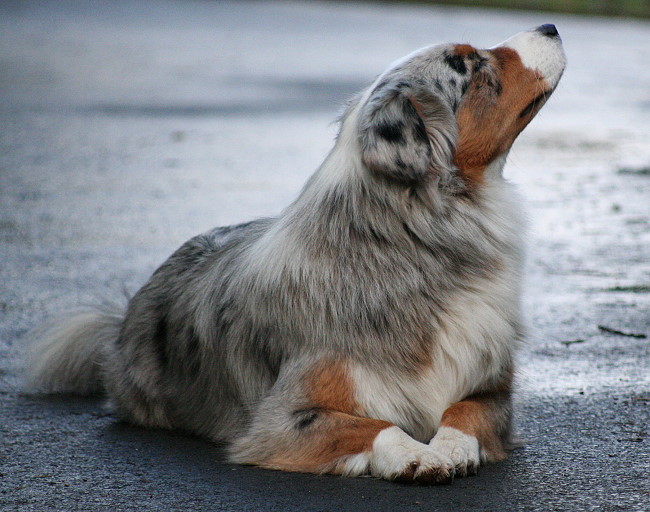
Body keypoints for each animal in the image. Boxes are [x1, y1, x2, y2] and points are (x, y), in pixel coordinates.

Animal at [26, 26, 560, 484]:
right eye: (470, 64)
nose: (551, 27)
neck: (415, 243)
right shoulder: (281, 418)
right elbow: (372, 425)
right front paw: (414, 453)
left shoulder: (491, 388)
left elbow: (463, 412)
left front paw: (449, 447)